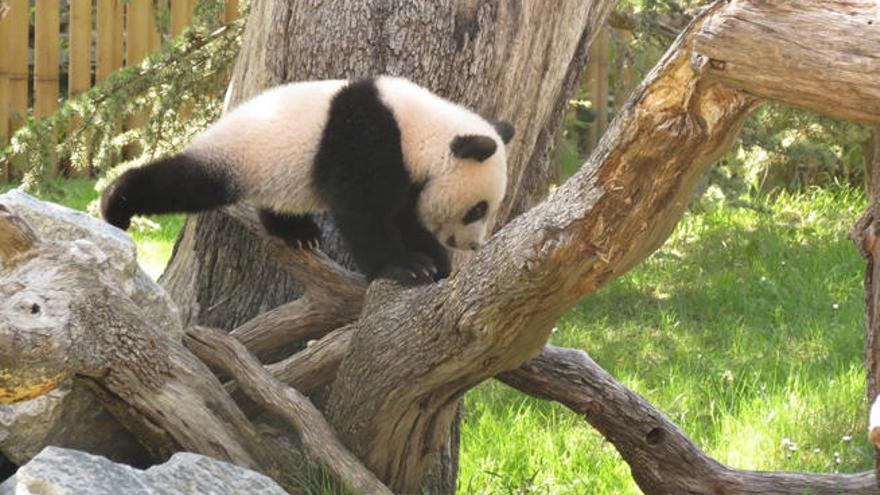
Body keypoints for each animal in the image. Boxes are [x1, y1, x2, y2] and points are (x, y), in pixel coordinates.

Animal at [101, 78, 516, 286]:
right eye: (477, 209)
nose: (473, 245)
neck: (418, 128)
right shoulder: (366, 137)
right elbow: (364, 211)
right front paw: (405, 267)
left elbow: (405, 214)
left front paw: (435, 260)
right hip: (236, 156)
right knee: (183, 183)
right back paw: (115, 204)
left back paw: (296, 232)